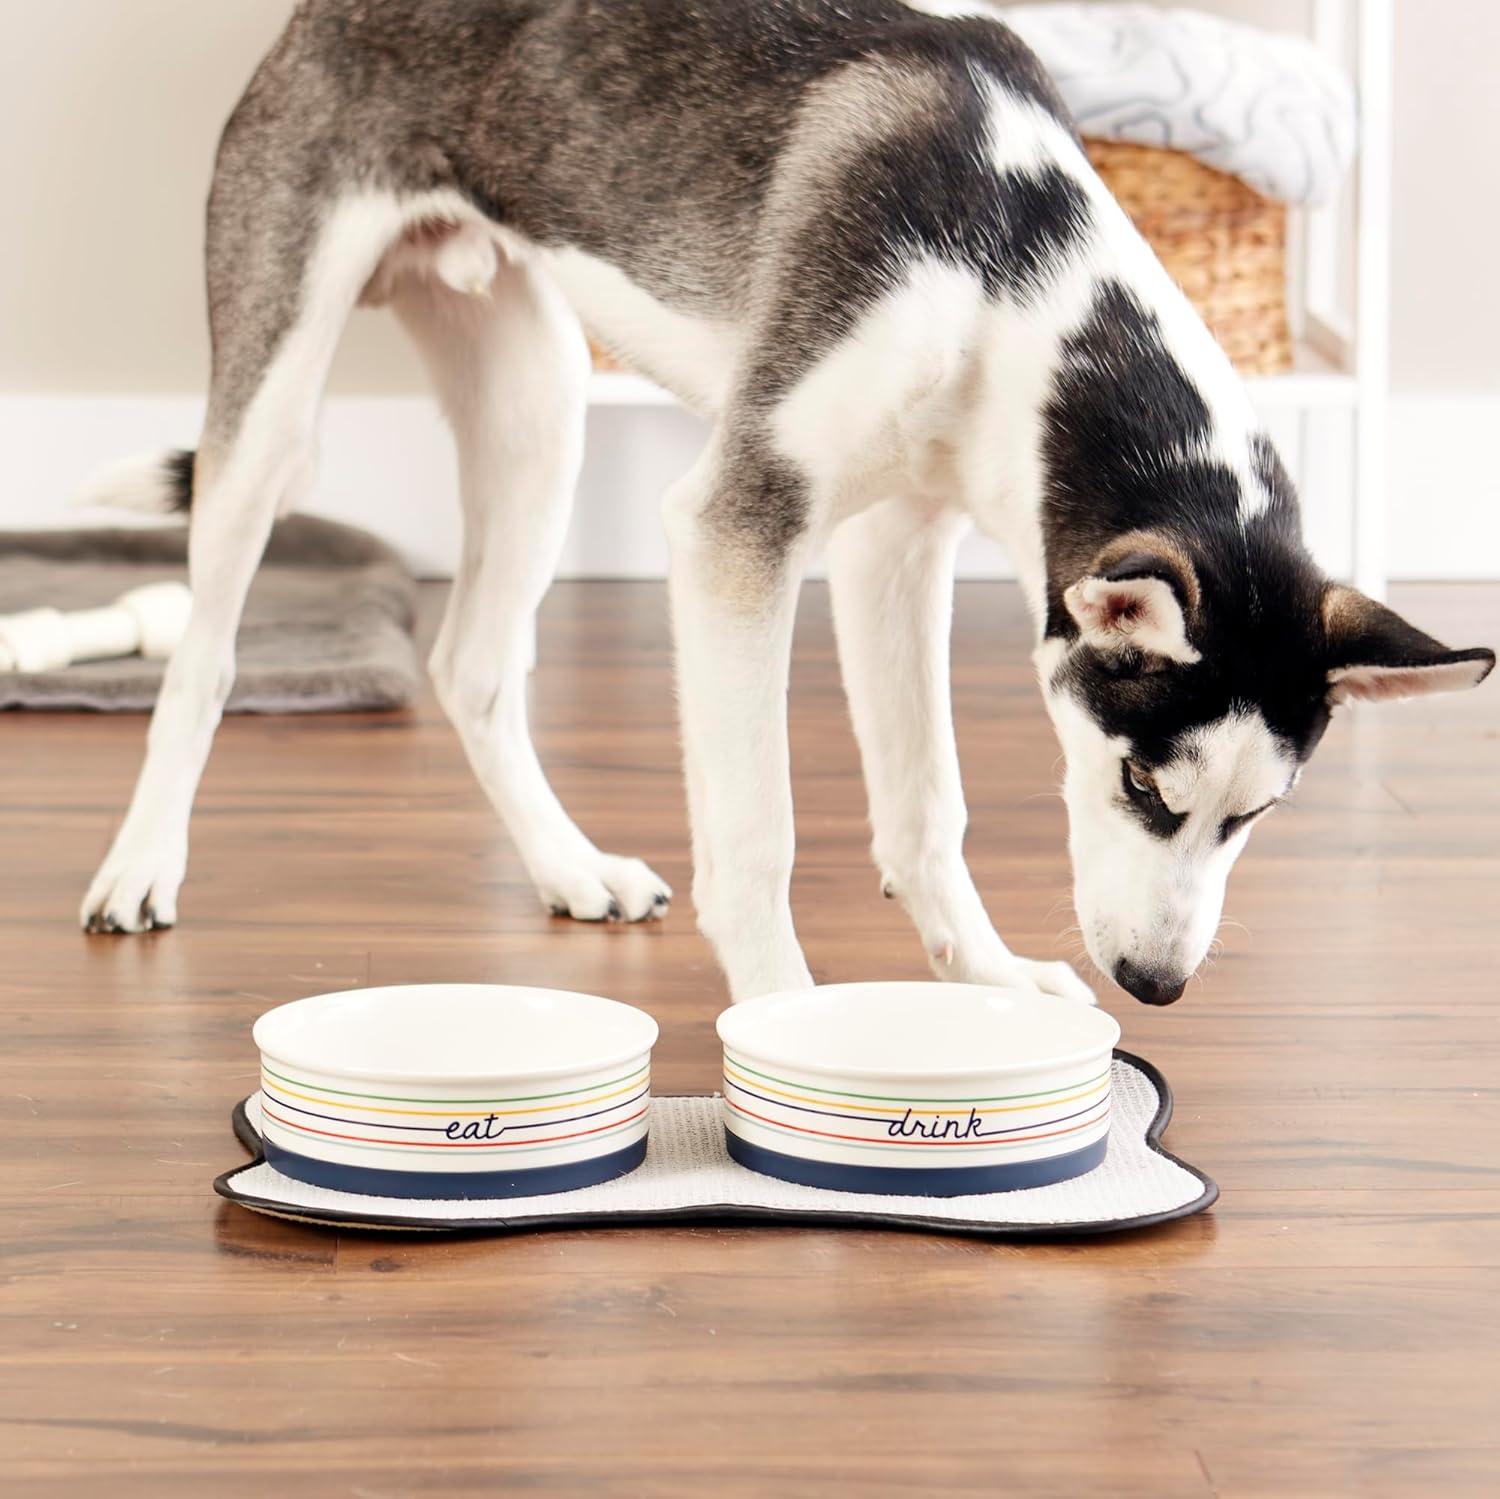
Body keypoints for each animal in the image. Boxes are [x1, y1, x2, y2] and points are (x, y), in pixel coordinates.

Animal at [79, 2, 1488, 1008]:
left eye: (1254, 817)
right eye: (1143, 782)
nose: (1156, 985)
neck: (1017, 278)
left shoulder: (893, 547)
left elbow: (927, 806)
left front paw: (982, 973)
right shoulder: (736, 531)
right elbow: (759, 831)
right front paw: (780, 1015)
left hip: (539, 410)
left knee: (473, 665)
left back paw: (567, 867)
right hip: (273, 408)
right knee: (205, 656)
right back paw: (141, 865)